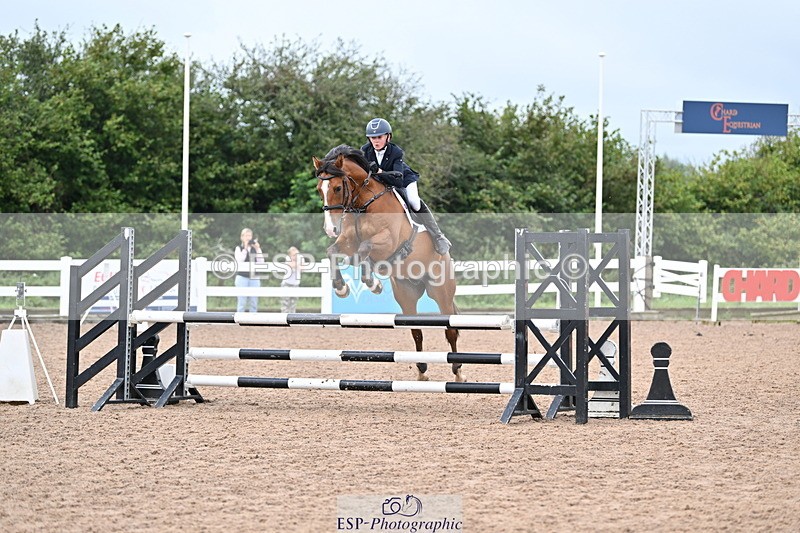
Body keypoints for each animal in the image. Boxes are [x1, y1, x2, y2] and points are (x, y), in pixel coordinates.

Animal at [312, 145, 463, 382]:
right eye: (320, 189)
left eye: (337, 187)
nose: (330, 229)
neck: (364, 204)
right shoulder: (347, 242)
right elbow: (334, 252)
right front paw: (341, 287)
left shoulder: (388, 241)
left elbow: (364, 249)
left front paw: (372, 283)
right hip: (406, 295)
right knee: (417, 332)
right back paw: (421, 371)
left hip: (441, 292)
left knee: (451, 329)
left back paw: (457, 372)